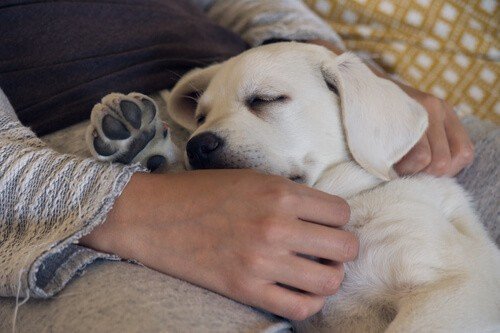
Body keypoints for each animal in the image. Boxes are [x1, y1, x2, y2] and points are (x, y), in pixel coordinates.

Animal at [86, 42, 500, 330]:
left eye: (265, 99)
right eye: (201, 116)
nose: (196, 145)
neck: (348, 198)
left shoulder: (457, 290)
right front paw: (147, 146)